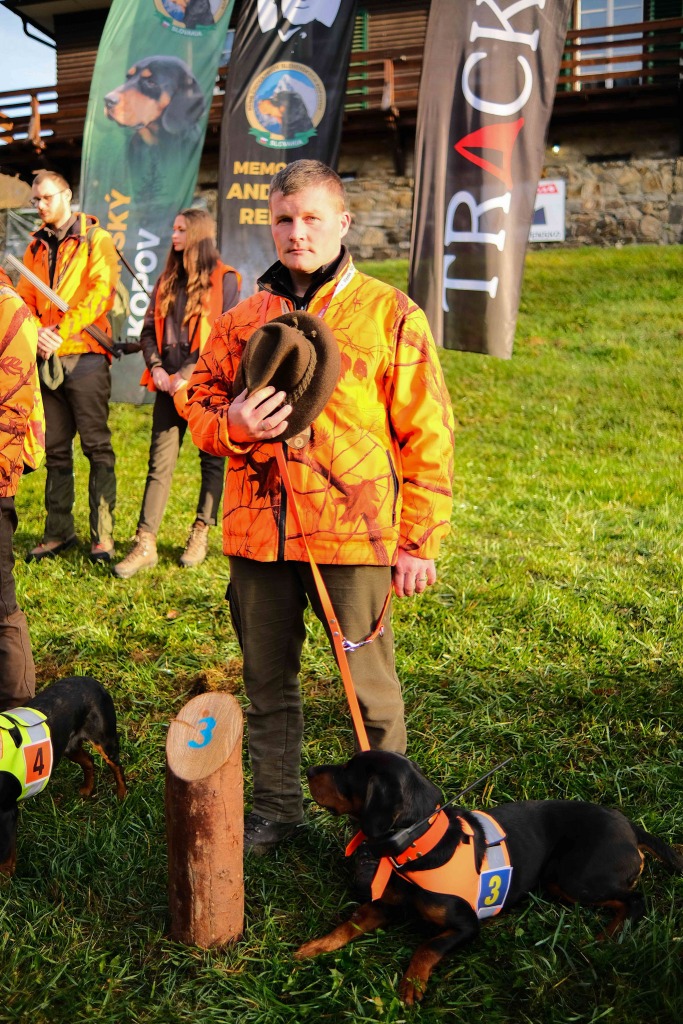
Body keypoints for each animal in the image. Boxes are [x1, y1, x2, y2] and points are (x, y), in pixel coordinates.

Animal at [0, 676, 127, 876]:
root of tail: (92, 681)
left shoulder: (7, 812)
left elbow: (6, 859)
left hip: (104, 739)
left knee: (117, 767)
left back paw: (122, 795)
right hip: (69, 746)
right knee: (89, 761)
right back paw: (87, 789)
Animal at [296, 750, 683, 1004]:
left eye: (348, 773)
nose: (310, 768)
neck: (417, 848)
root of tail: (631, 827)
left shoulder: (466, 926)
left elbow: (426, 947)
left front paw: (412, 986)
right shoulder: (384, 905)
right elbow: (348, 924)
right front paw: (314, 947)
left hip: (573, 878)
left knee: (634, 900)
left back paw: (606, 936)